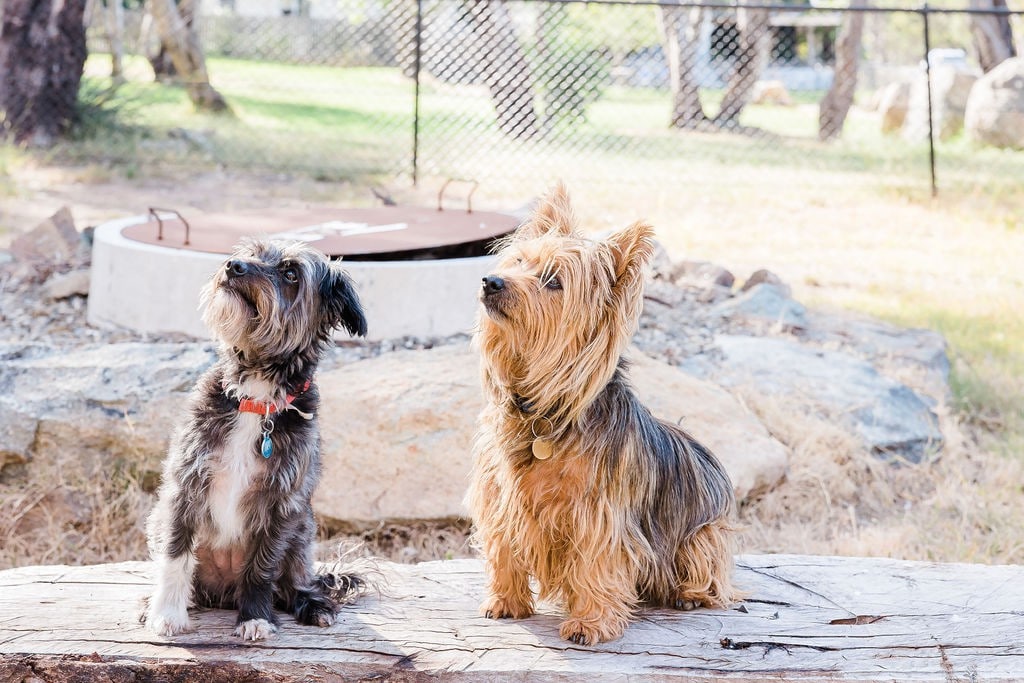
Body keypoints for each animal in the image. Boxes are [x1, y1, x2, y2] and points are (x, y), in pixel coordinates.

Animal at [144, 239, 368, 643]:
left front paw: (255, 618)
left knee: (296, 581)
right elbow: (175, 555)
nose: (233, 266)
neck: (256, 397)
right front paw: (166, 613)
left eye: (291, 273)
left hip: (303, 530)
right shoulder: (185, 487)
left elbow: (262, 567)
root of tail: (222, 594)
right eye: (252, 252)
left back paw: (312, 603)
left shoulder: (282, 504)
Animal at [468, 184, 741, 643]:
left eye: (553, 282)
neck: (544, 410)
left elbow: (596, 560)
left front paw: (589, 622)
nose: (491, 281)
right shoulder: (499, 497)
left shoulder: (599, 512)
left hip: (704, 534)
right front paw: (504, 601)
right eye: (520, 261)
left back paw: (690, 594)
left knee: (709, 573)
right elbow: (504, 548)